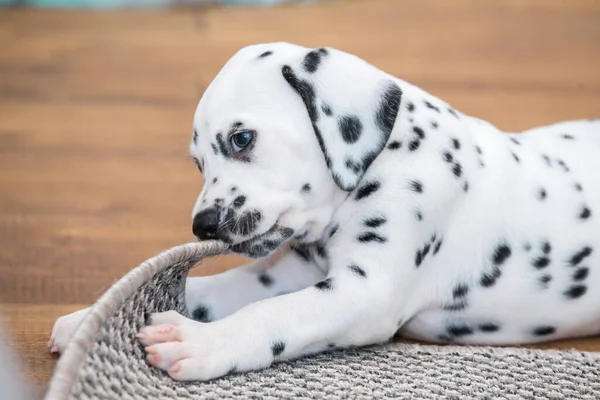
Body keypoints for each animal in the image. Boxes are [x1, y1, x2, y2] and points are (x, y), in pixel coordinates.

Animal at [51, 42, 600, 382]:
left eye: (241, 138)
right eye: (198, 163)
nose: (201, 226)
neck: (390, 157)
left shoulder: (365, 291)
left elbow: (274, 315)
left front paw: (200, 344)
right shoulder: (285, 272)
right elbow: (212, 289)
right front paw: (86, 321)